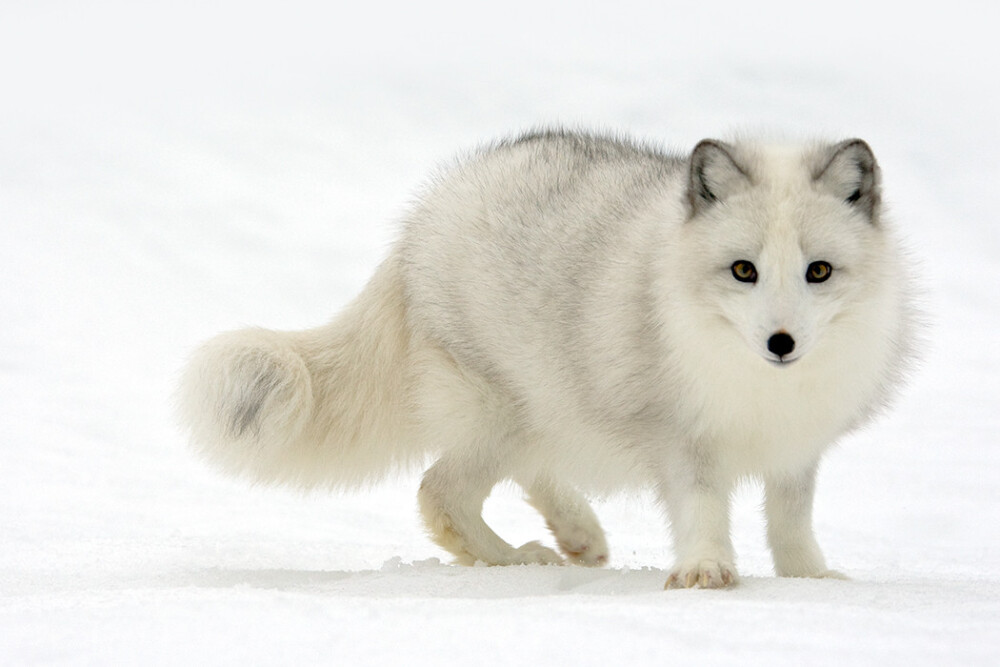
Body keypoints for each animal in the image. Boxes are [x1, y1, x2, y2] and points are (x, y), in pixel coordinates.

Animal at [177, 129, 917, 589]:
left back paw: (578, 535)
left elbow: (791, 520)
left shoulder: (797, 446)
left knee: (525, 472)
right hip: (503, 411)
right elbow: (704, 508)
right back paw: (516, 561)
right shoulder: (682, 437)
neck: (759, 385)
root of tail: (423, 217)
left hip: (544, 409)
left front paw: (810, 579)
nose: (781, 343)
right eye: (744, 270)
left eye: (818, 270)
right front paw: (707, 571)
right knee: (438, 493)